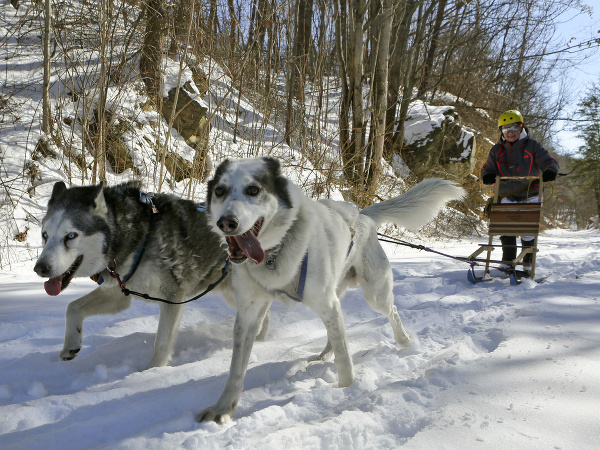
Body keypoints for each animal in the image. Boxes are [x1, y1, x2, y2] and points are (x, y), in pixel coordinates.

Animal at [33, 180, 246, 370]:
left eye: (70, 236)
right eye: (45, 235)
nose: (40, 268)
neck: (137, 236)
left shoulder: (172, 297)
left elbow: (161, 343)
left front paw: (151, 372)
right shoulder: (118, 293)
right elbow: (72, 307)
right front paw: (71, 344)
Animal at [199, 157, 466, 422]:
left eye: (253, 190)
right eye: (219, 191)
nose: (226, 223)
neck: (274, 254)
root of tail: (363, 216)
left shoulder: (325, 302)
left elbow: (345, 358)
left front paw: (348, 391)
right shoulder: (248, 313)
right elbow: (235, 369)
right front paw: (223, 408)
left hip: (373, 294)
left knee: (390, 313)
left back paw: (406, 341)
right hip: (334, 298)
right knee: (335, 333)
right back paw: (324, 356)